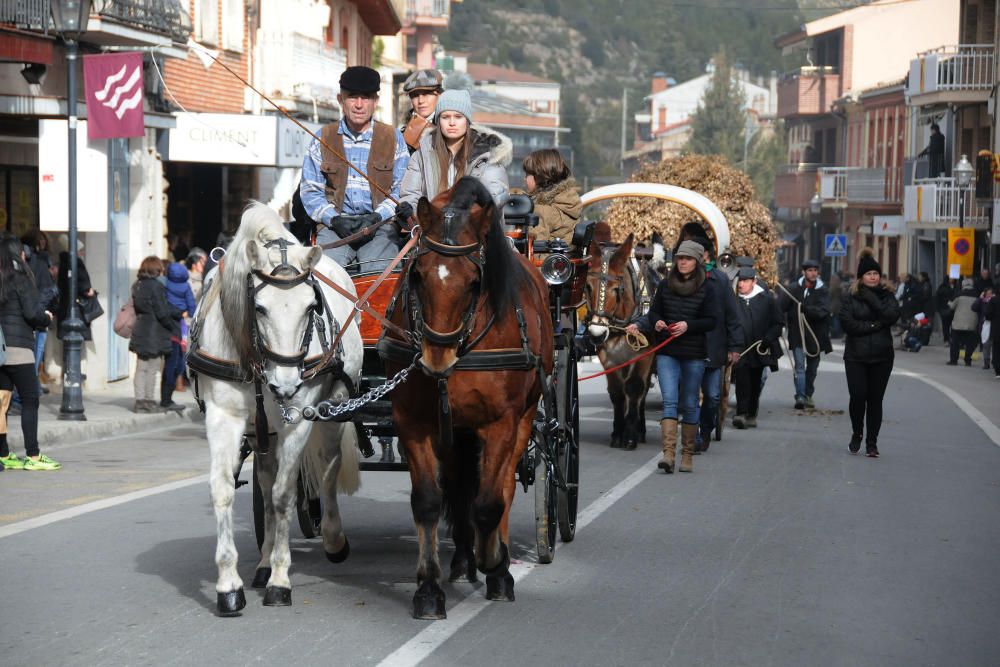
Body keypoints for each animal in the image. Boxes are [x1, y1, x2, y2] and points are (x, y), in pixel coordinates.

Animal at [191, 204, 364, 616]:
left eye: (311, 307)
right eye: (259, 308)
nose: (285, 384)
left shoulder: (298, 420)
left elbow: (285, 495)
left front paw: (281, 581)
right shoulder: (224, 417)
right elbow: (224, 489)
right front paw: (229, 584)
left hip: (333, 408)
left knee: (328, 467)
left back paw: (332, 539)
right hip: (262, 430)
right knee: (266, 483)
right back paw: (263, 562)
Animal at [380, 177, 556, 620]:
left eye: (475, 281)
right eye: (417, 274)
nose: (435, 358)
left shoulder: (501, 423)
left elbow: (490, 501)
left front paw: (496, 565)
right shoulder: (414, 422)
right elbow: (428, 501)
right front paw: (428, 589)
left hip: (525, 417)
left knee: (502, 488)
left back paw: (493, 559)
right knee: (459, 485)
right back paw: (462, 558)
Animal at [584, 234, 656, 448]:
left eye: (616, 289)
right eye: (588, 286)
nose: (596, 334)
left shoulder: (644, 354)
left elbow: (634, 387)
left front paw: (630, 435)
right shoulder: (608, 357)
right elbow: (617, 392)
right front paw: (618, 432)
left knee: (642, 391)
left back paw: (640, 429)